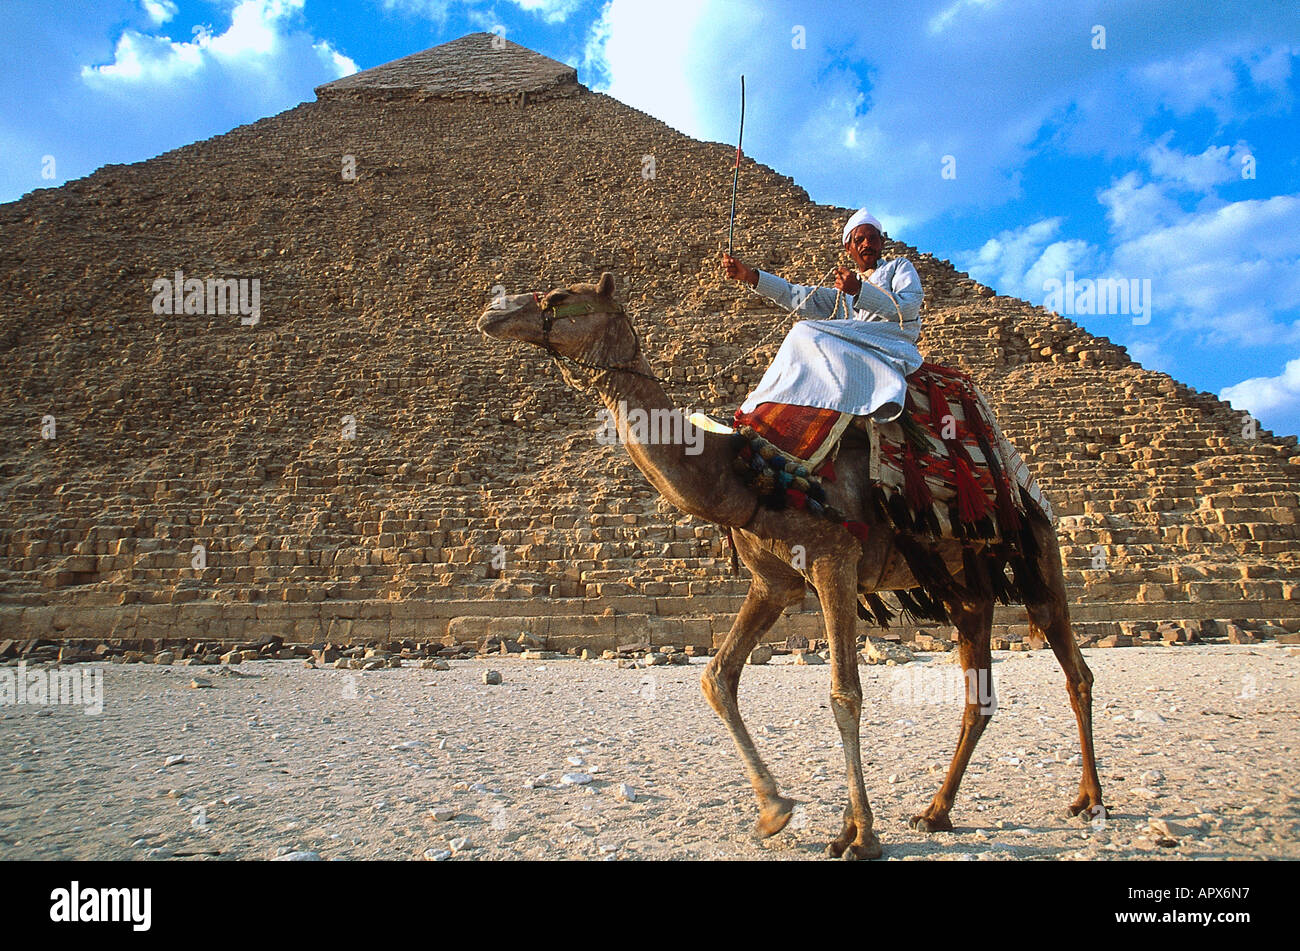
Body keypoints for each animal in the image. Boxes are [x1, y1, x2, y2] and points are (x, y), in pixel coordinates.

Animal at [480, 271, 1107, 857]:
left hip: (1037, 551)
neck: (746, 475)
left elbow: (844, 695)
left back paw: (1091, 800)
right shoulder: (774, 583)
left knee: (1075, 669)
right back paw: (936, 811)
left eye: (560, 296)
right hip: (964, 586)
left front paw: (860, 836)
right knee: (978, 695)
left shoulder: (834, 563)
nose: (492, 312)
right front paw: (775, 810)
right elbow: (717, 677)